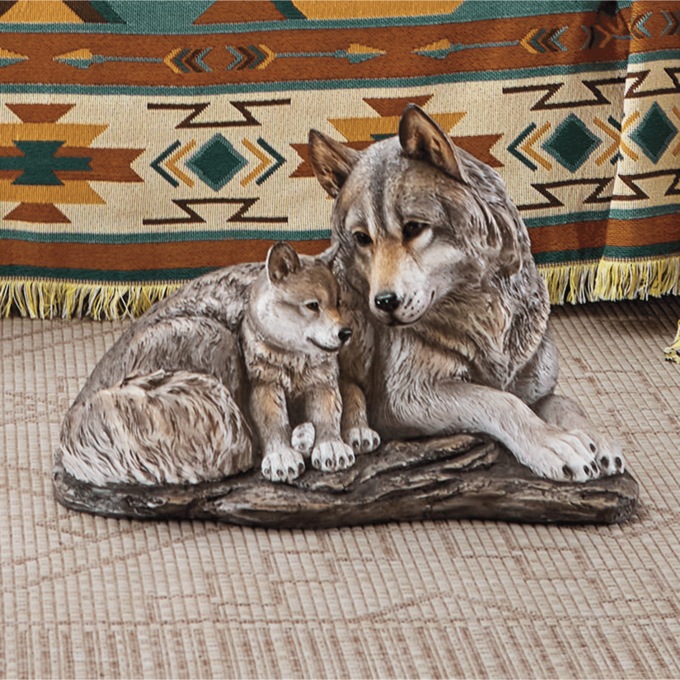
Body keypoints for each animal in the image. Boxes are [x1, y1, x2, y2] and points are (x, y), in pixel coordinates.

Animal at [59, 243, 378, 487]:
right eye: (312, 306)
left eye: (338, 302)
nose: (345, 333)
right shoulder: (264, 383)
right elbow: (275, 421)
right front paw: (289, 450)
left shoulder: (329, 375)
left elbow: (344, 400)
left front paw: (342, 438)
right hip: (215, 336)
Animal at [308, 104, 625, 483]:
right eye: (362, 238)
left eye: (413, 228)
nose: (384, 303)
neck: (486, 321)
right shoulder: (405, 398)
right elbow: (500, 402)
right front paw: (554, 444)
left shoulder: (534, 386)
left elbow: (563, 401)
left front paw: (597, 440)